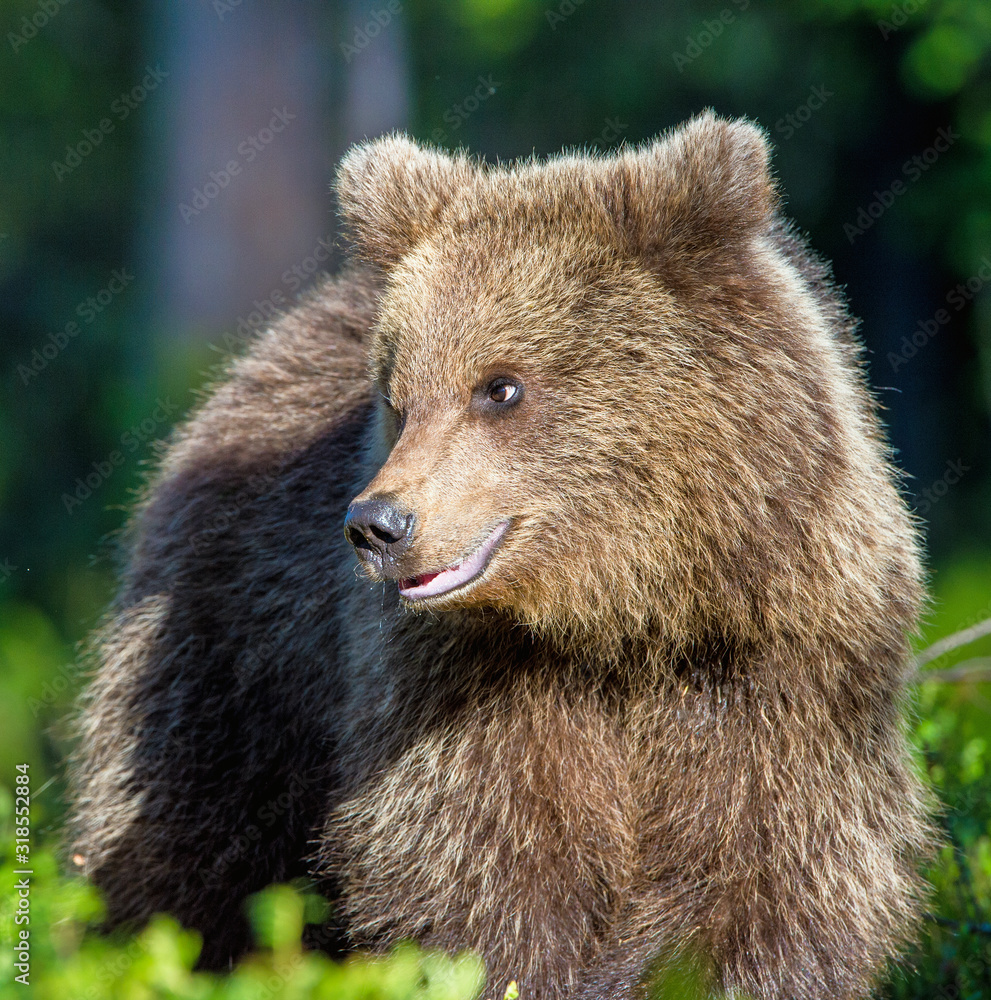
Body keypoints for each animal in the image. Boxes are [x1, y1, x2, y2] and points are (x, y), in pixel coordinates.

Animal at [69, 112, 935, 1000]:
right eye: (398, 398)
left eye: (500, 386)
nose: (378, 523)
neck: (624, 616)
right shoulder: (462, 686)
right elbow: (483, 873)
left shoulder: (782, 673)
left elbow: (768, 882)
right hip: (238, 646)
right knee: (186, 841)